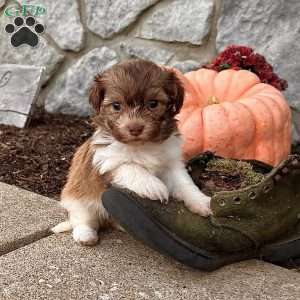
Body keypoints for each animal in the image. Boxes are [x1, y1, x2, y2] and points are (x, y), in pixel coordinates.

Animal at [51, 59, 211, 246]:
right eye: (116, 106)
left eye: (153, 104)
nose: (135, 128)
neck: (141, 145)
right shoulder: (106, 160)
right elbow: (131, 166)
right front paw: (154, 186)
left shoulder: (171, 163)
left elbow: (185, 184)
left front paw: (202, 202)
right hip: (77, 197)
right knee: (82, 218)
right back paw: (85, 235)